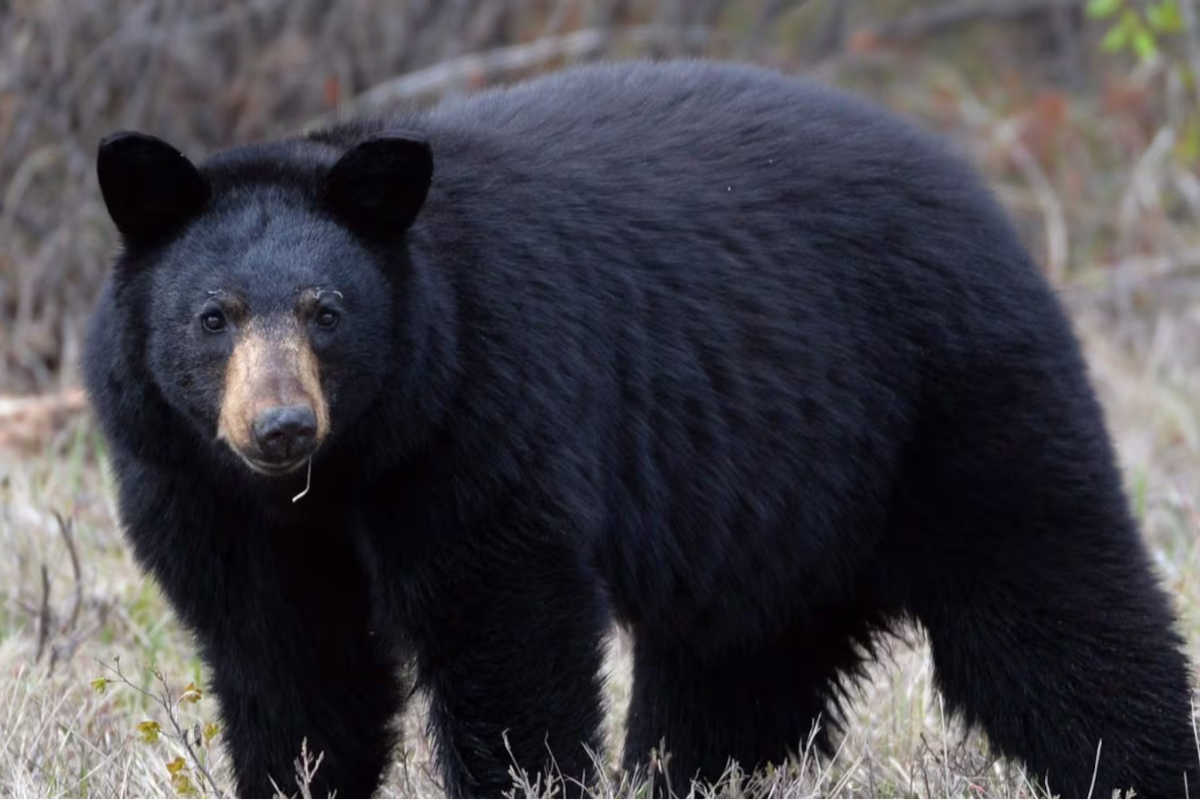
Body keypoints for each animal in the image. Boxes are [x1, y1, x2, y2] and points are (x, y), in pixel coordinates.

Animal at [82, 58, 1198, 799]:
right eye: (213, 316)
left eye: (327, 312)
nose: (280, 425)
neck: (348, 466)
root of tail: (978, 196)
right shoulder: (197, 487)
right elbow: (288, 662)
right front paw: (298, 771)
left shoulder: (481, 415)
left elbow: (503, 626)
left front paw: (518, 777)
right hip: (775, 506)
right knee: (739, 674)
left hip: (953, 402)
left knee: (1056, 603)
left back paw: (1144, 765)